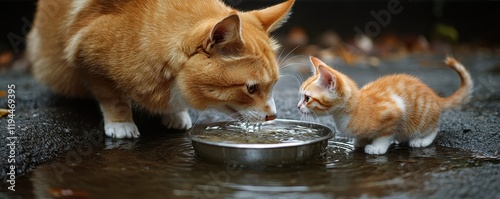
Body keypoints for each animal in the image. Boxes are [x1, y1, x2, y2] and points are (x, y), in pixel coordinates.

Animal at [27, 0, 294, 138]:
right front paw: (120, 123)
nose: (273, 116)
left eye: (273, 85)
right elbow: (112, 97)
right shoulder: (87, 58)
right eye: (251, 88)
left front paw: (175, 113)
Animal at [296, 56, 472, 155]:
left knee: (434, 128)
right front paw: (361, 141)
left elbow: (385, 135)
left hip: (422, 118)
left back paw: (421, 140)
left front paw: (376, 147)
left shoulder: (395, 110)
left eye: (307, 98)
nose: (297, 106)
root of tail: (435, 97)